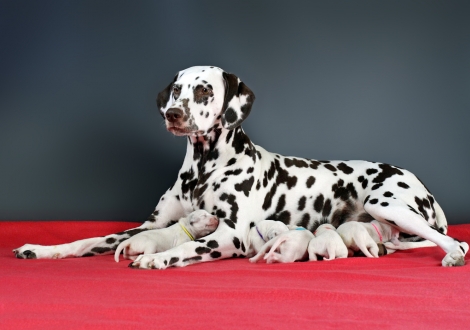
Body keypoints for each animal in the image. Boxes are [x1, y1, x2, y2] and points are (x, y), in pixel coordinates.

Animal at [13, 65, 466, 268]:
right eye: (176, 90)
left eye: (203, 90)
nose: (173, 113)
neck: (203, 169)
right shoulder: (149, 226)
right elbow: (91, 239)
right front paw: (45, 249)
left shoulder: (228, 234)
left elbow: (188, 246)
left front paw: (160, 258)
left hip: (386, 204)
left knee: (455, 242)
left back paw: (452, 256)